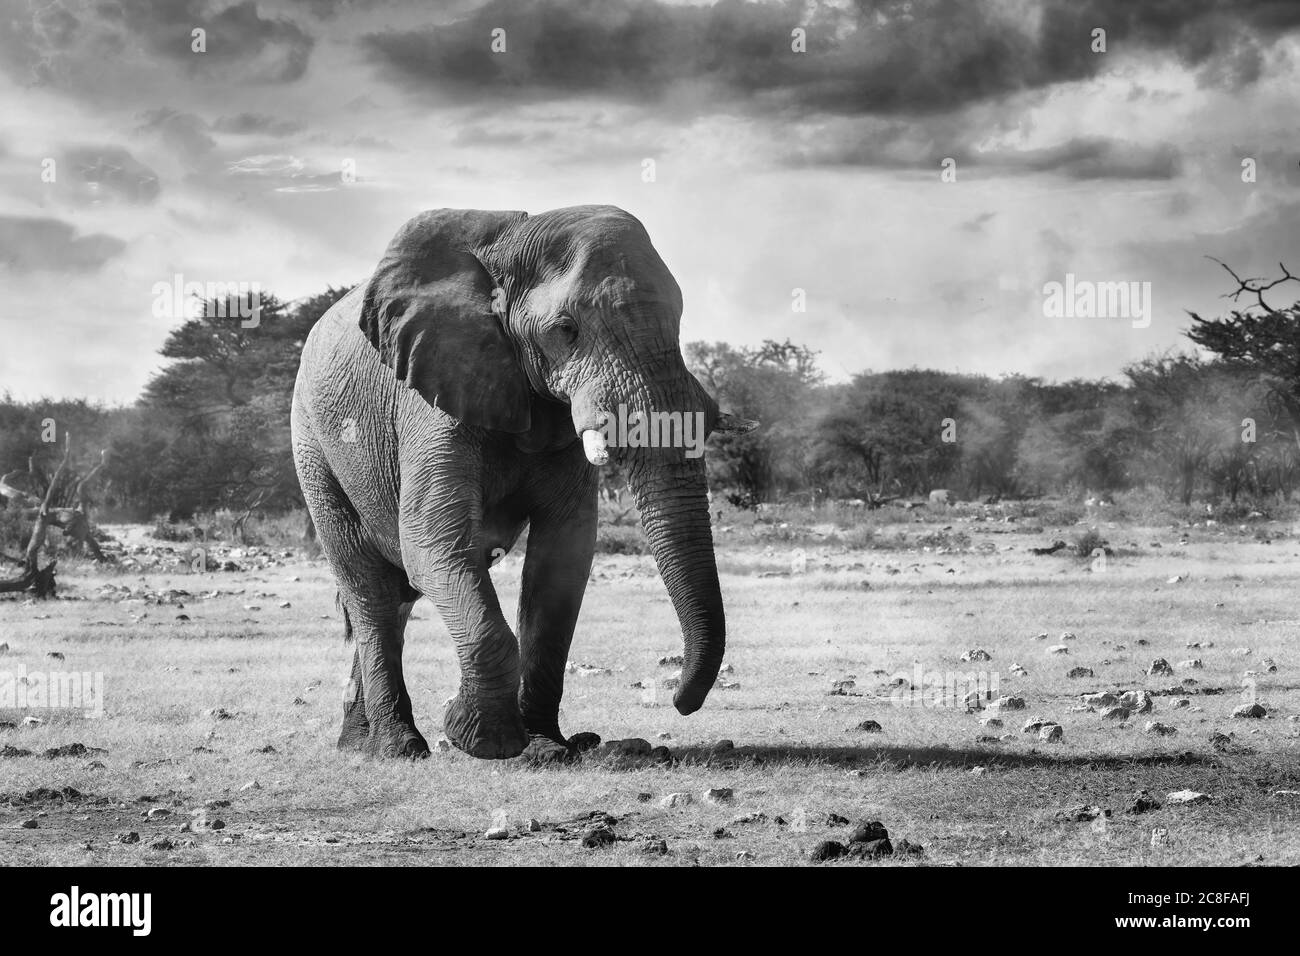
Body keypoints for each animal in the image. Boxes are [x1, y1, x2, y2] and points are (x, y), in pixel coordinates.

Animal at [291, 205, 756, 761]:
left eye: (680, 322)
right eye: (566, 329)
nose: (679, 703)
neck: (509, 243)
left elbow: (561, 562)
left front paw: (546, 747)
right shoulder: (429, 396)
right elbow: (432, 543)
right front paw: (482, 738)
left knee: (398, 598)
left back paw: (359, 744)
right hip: (313, 447)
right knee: (372, 591)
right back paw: (398, 747)